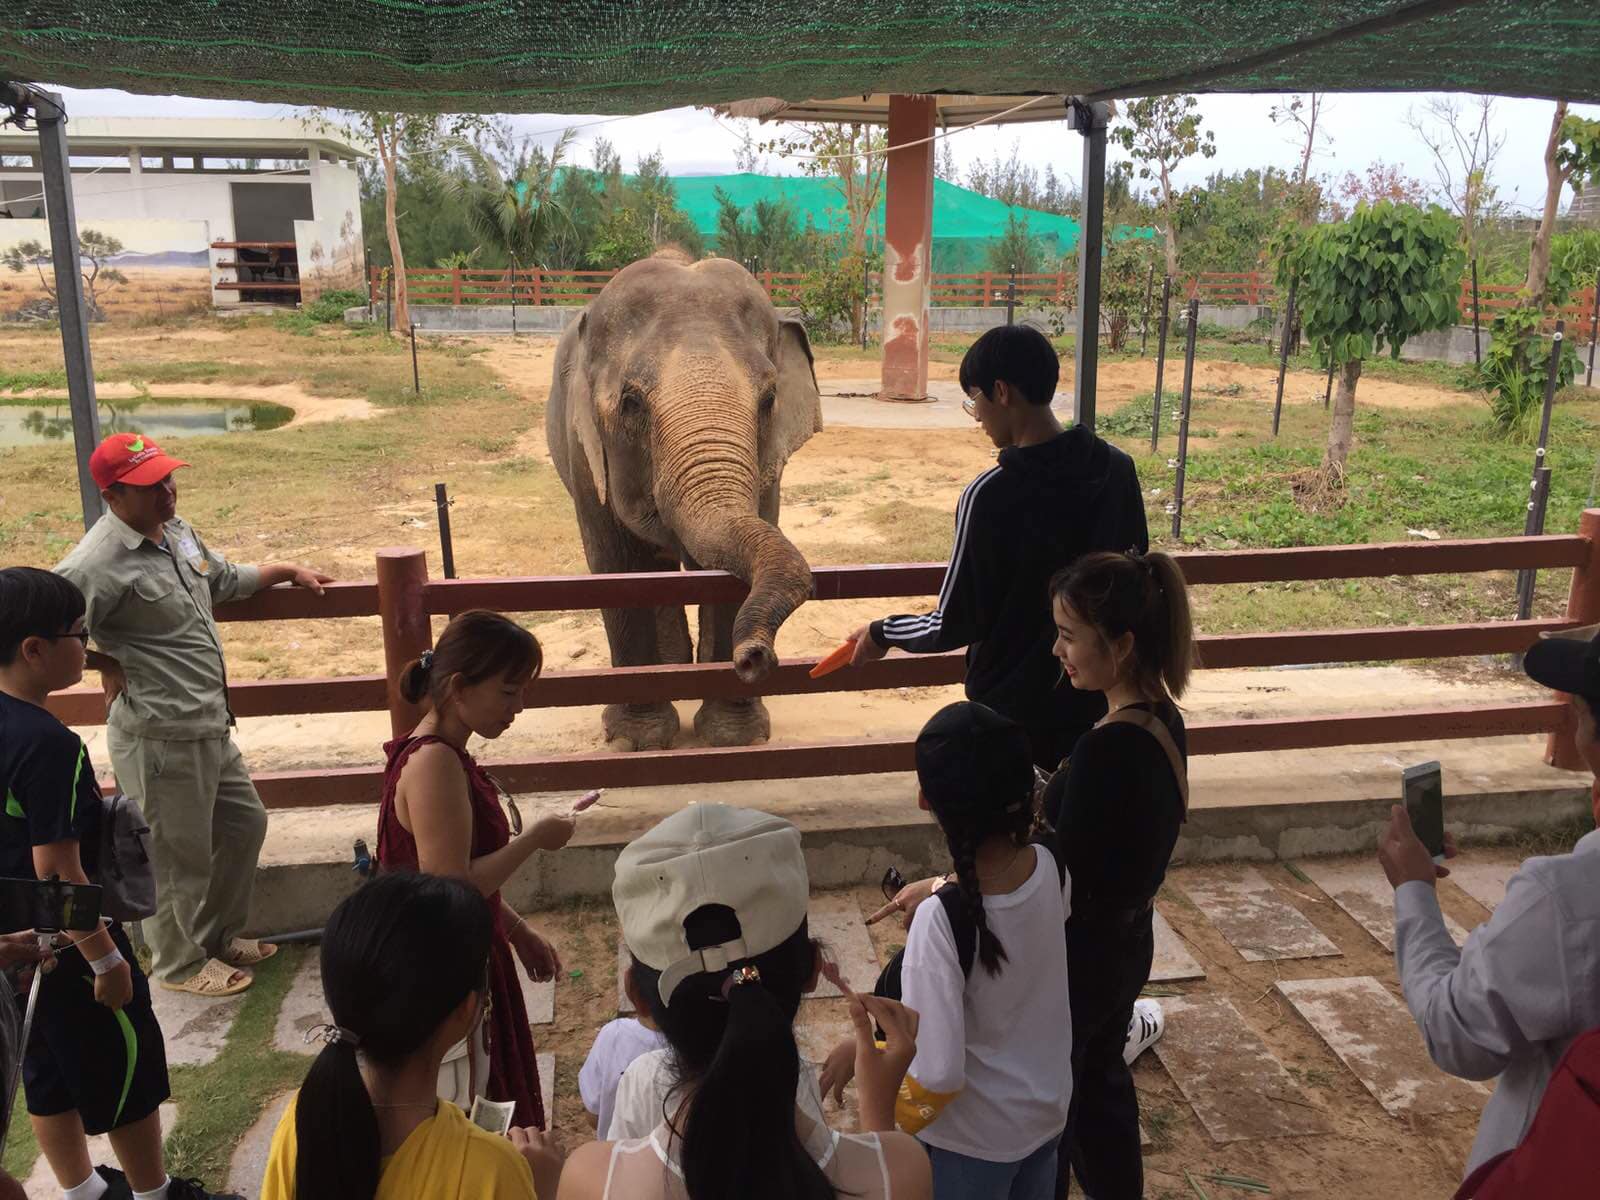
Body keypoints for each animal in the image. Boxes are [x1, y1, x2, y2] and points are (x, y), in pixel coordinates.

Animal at [550, 249, 825, 748]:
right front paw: (635, 740)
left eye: (769, 399)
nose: (755, 656)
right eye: (631, 403)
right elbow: (617, 569)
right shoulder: (583, 456)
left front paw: (733, 736)